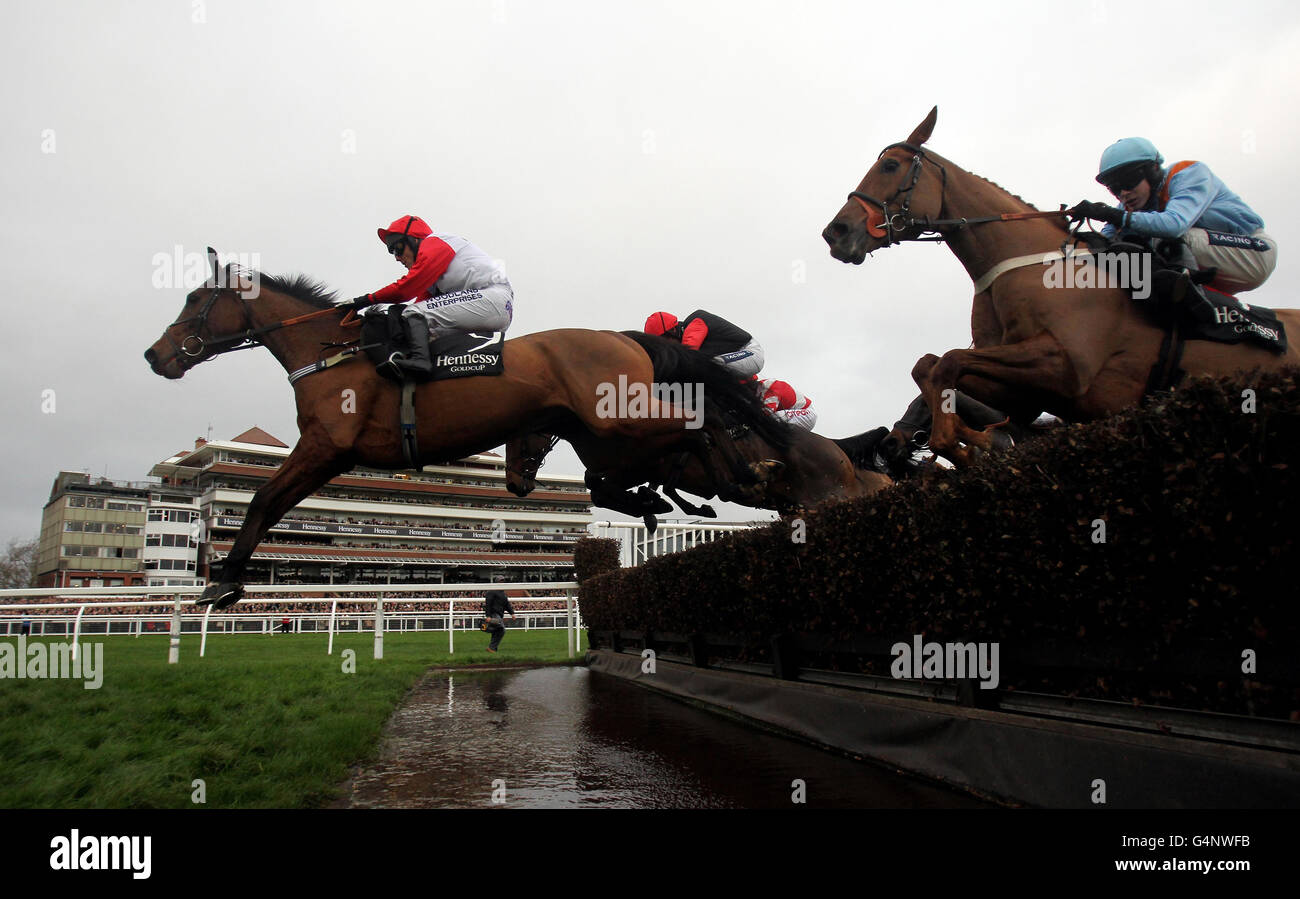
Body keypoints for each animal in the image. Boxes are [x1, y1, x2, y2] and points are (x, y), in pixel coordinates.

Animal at [144, 253, 821, 607]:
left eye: (195, 301)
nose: (157, 355)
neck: (334, 353)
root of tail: (624, 336)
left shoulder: (323, 446)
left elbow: (261, 500)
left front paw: (222, 583)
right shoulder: (330, 455)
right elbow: (269, 503)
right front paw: (227, 579)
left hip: (617, 415)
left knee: (695, 423)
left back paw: (740, 473)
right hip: (601, 427)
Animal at [821, 109, 1300, 467]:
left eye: (890, 165)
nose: (835, 232)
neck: (1030, 267)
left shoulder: (1066, 365)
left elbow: (948, 362)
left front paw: (975, 442)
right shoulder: (1025, 387)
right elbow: (930, 366)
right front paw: (974, 441)